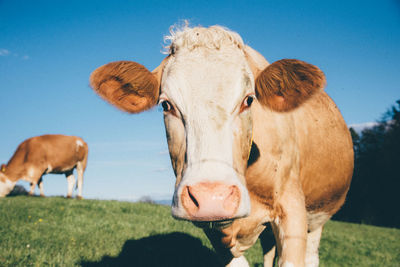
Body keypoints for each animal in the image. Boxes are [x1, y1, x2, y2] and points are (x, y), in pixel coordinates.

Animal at [90, 25, 354, 267]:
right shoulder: (212, 227)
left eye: (249, 100)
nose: (212, 197)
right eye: (166, 105)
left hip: (317, 217)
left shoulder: (292, 208)